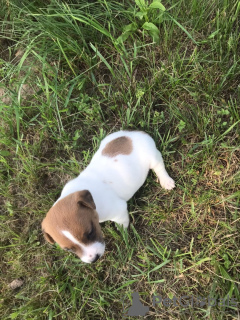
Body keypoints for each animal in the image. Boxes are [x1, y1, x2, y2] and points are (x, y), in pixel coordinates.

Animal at [42, 130, 175, 262]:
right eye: (69, 249)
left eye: (90, 232)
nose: (94, 259)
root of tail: (137, 133)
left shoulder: (119, 210)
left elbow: (122, 223)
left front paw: (122, 231)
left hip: (153, 157)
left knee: (159, 167)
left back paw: (166, 181)